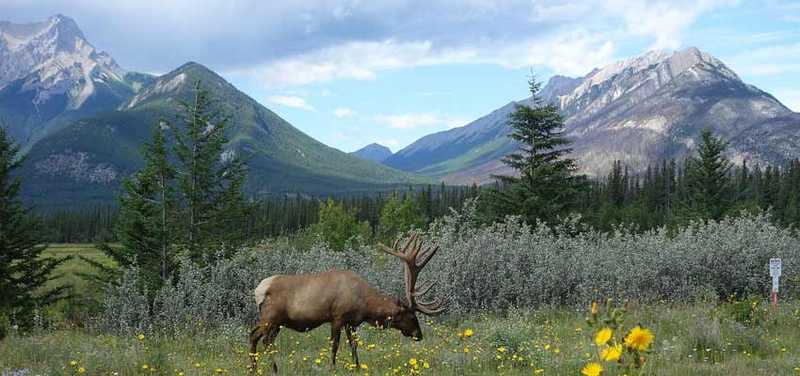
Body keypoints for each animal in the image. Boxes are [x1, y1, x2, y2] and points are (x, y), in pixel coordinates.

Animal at [248, 234, 444, 372]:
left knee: (260, 338)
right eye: (411, 316)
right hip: (270, 318)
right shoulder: (337, 316)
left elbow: (354, 345)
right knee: (258, 336)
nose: (419, 335)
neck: (365, 306)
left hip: (277, 323)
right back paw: (271, 369)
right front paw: (332, 368)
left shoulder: (352, 323)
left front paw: (357, 367)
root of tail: (258, 290)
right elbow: (334, 346)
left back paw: (255, 369)